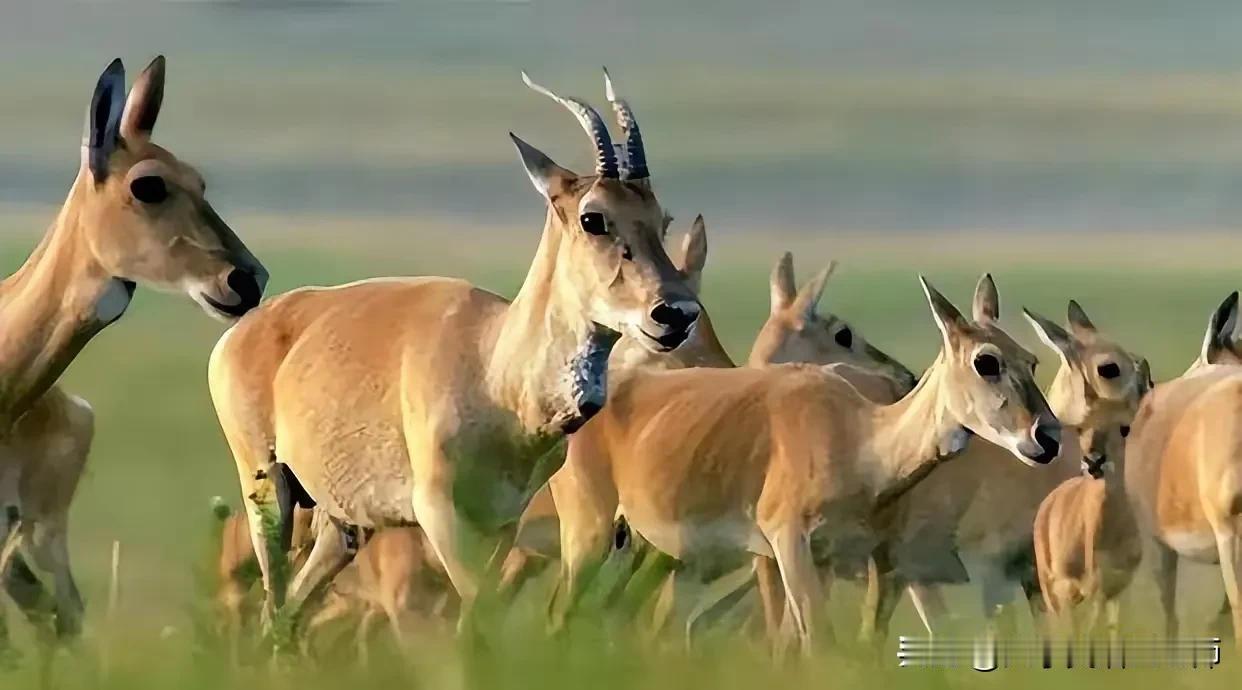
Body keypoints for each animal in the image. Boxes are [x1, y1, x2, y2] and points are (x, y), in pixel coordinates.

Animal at [208, 71, 705, 630]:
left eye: (661, 218)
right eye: (593, 217)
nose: (675, 313)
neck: (493, 369)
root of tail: (245, 331)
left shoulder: (501, 524)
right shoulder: (442, 517)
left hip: (343, 524)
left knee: (291, 609)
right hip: (268, 490)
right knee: (274, 603)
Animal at [551, 271, 1058, 650]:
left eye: (1031, 360)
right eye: (986, 360)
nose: (1047, 437)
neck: (856, 437)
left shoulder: (827, 559)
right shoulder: (788, 545)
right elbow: (817, 641)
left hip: (653, 554)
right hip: (590, 536)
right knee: (563, 613)